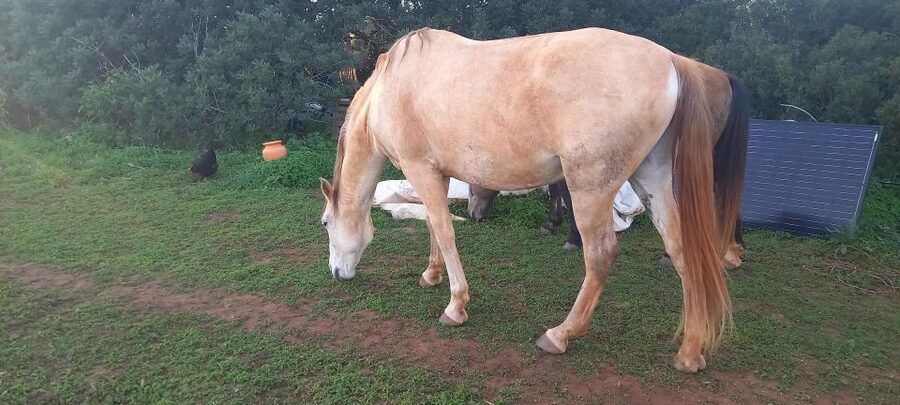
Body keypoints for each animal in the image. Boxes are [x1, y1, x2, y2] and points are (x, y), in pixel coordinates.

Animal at [319, 27, 749, 373]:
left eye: (325, 224)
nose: (336, 273)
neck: (390, 89)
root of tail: (670, 61)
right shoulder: (435, 175)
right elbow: (432, 228)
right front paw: (431, 274)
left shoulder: (419, 170)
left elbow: (444, 231)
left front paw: (456, 306)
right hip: (652, 180)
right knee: (681, 250)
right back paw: (690, 352)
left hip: (591, 188)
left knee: (600, 255)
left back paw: (560, 334)